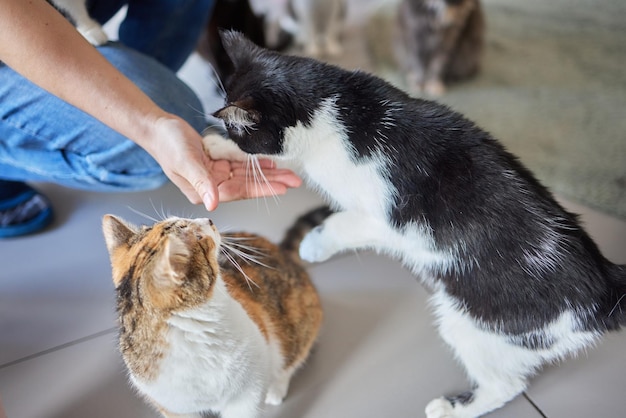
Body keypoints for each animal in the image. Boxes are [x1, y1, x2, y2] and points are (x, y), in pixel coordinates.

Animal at [100, 207, 324, 418]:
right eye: (199, 238)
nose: (208, 219)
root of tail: (279, 250)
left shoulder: (247, 395)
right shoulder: (173, 407)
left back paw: (276, 389)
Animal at [206, 31, 624, 418]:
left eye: (243, 131)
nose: (229, 135)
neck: (334, 108)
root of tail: (604, 289)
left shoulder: (386, 219)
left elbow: (343, 222)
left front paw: (313, 243)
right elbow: (281, 160)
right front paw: (215, 147)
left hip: (478, 328)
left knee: (506, 386)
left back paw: (452, 409)